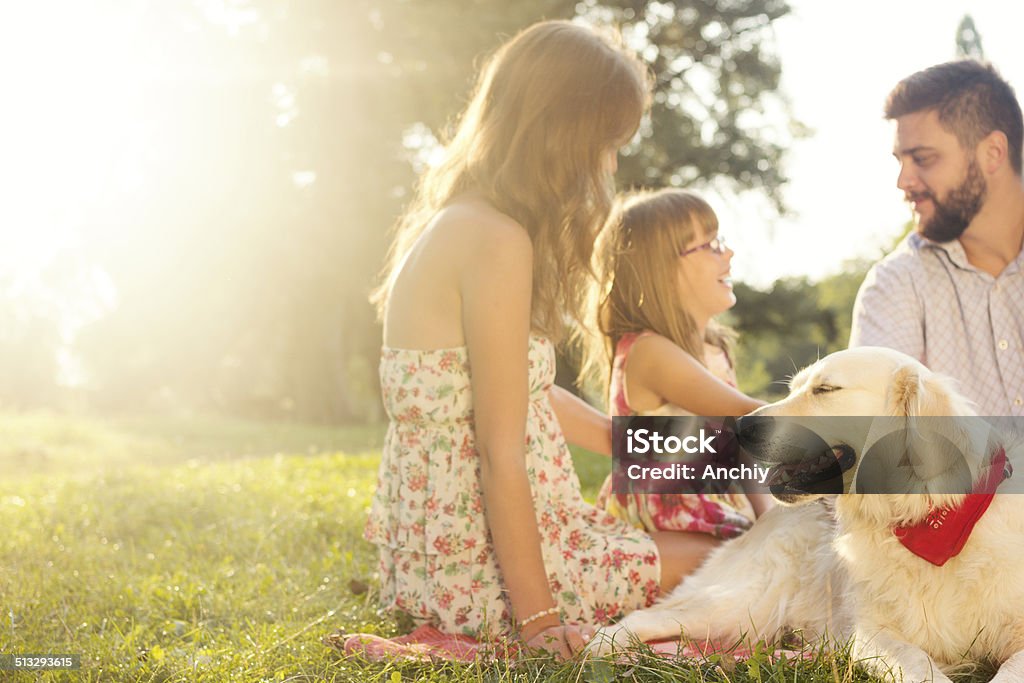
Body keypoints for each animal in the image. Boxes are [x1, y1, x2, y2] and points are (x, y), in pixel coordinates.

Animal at [593, 350, 1024, 679]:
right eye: (793, 388)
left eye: (825, 389)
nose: (740, 425)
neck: (923, 517)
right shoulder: (870, 635)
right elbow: (919, 663)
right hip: (741, 606)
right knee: (639, 619)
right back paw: (599, 651)